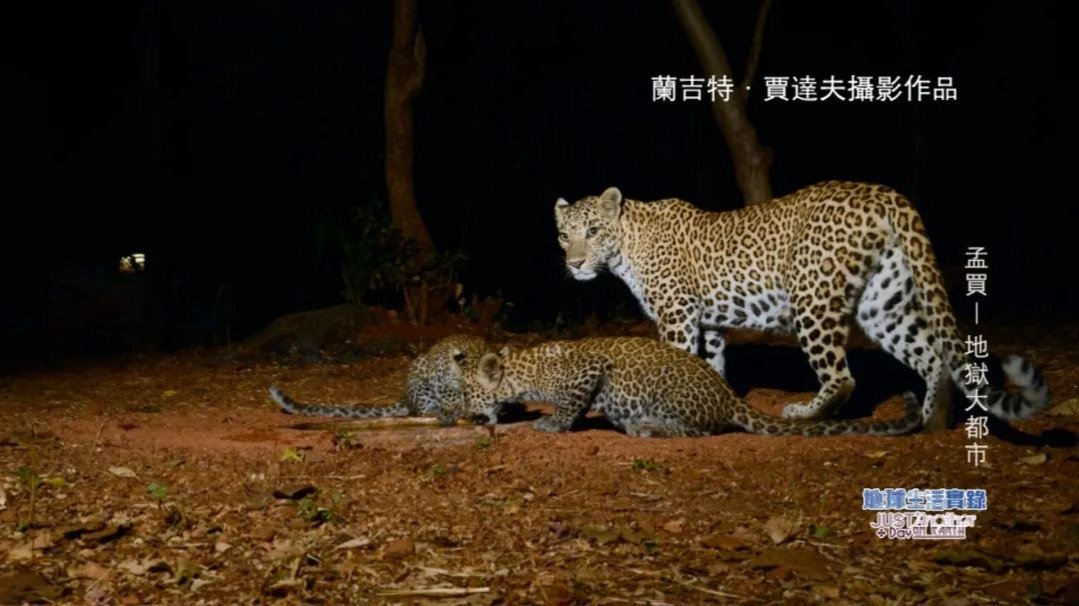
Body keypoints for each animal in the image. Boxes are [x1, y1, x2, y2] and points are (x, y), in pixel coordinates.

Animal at [552, 180, 1048, 424]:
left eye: (592, 231)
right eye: (563, 235)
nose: (573, 264)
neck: (627, 244)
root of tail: (886, 193)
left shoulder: (678, 315)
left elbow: (674, 362)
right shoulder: (708, 323)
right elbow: (710, 367)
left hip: (813, 297)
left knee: (843, 377)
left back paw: (808, 413)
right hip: (882, 305)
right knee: (932, 358)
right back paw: (930, 422)